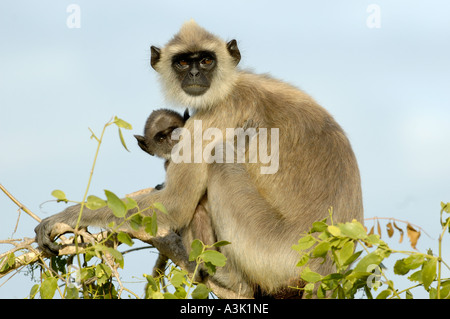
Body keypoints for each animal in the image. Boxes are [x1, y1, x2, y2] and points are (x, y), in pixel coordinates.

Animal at [36, 21, 366, 298]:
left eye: (206, 60)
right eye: (183, 62)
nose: (195, 74)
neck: (231, 86)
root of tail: (325, 266)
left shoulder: (213, 116)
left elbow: (176, 205)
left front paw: (66, 217)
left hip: (272, 253)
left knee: (218, 164)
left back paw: (230, 279)